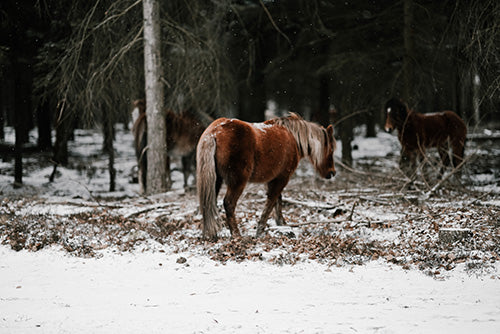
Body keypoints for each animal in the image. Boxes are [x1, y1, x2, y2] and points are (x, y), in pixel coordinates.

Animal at [195, 113, 336, 239]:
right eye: (331, 149)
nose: (332, 172)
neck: (293, 138)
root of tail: (214, 133)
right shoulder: (282, 178)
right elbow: (271, 202)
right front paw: (261, 230)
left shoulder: (274, 179)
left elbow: (277, 201)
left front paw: (281, 224)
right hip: (238, 181)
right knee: (229, 203)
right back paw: (236, 235)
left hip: (216, 180)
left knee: (208, 203)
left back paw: (209, 234)